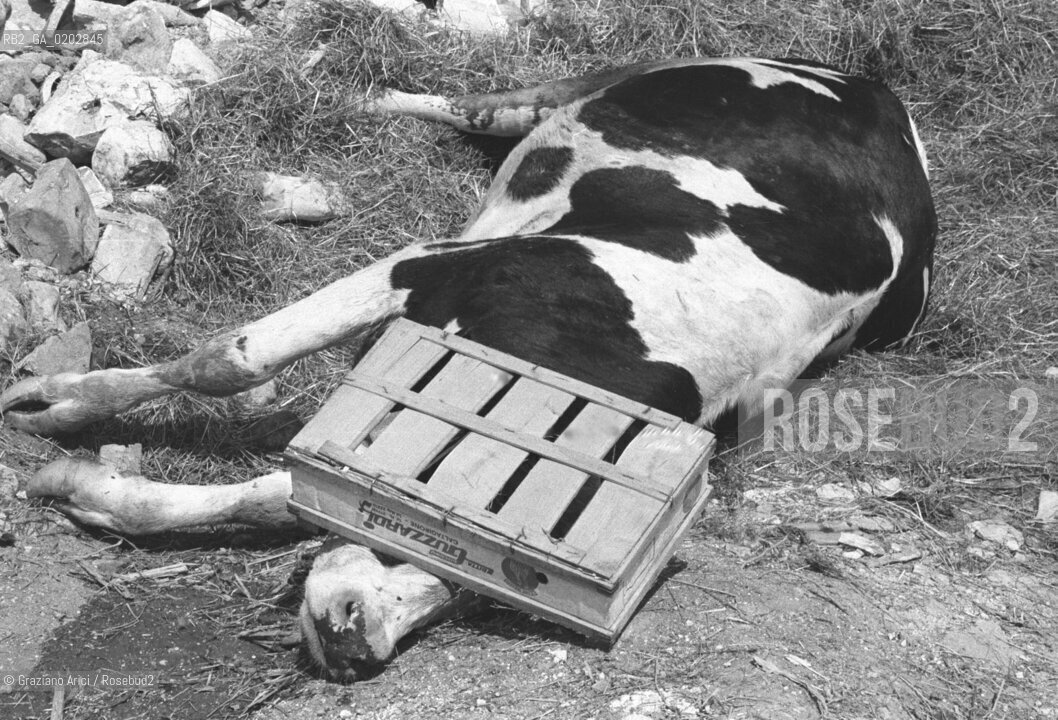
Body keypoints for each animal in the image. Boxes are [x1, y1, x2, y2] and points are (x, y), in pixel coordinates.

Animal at [0, 57, 936, 681]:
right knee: (477, 100)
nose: (362, 642)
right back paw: (339, 89)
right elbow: (229, 359)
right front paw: (59, 404)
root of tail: (878, 90)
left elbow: (278, 494)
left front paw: (91, 488)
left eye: (511, 585)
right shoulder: (430, 263)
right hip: (612, 88)